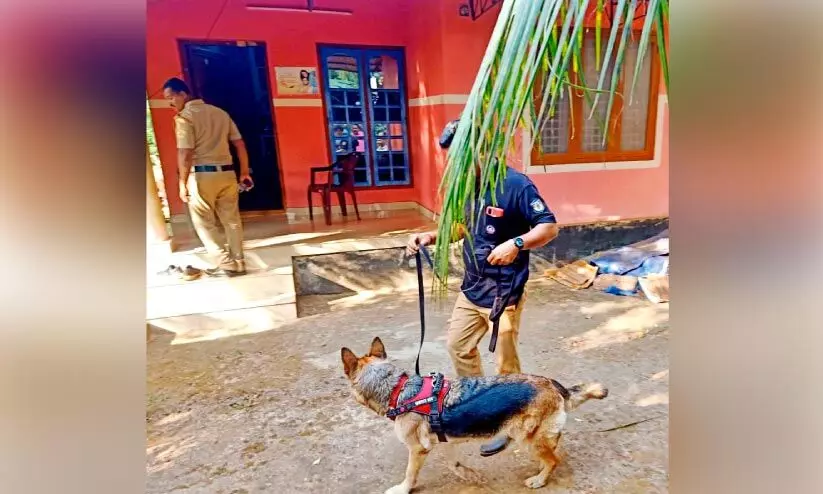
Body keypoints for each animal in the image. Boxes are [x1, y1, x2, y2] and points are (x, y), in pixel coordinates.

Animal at [340, 338, 604, 492]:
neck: (397, 388)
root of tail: (555, 385)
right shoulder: (442, 440)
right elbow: (453, 462)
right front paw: (467, 473)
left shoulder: (417, 450)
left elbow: (410, 473)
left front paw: (403, 489)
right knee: (553, 452)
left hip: (529, 438)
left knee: (553, 460)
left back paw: (539, 479)